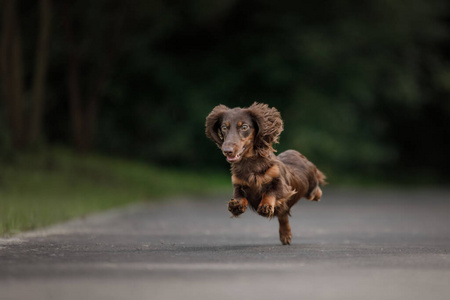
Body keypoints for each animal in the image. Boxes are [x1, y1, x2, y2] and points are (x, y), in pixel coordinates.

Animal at [206, 102, 326, 245]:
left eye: (244, 126)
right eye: (224, 127)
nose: (227, 150)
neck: (250, 164)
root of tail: (297, 153)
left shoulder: (281, 184)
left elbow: (270, 192)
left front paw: (265, 206)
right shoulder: (238, 184)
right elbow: (239, 196)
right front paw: (236, 205)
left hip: (310, 189)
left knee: (316, 191)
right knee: (283, 216)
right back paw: (285, 235)